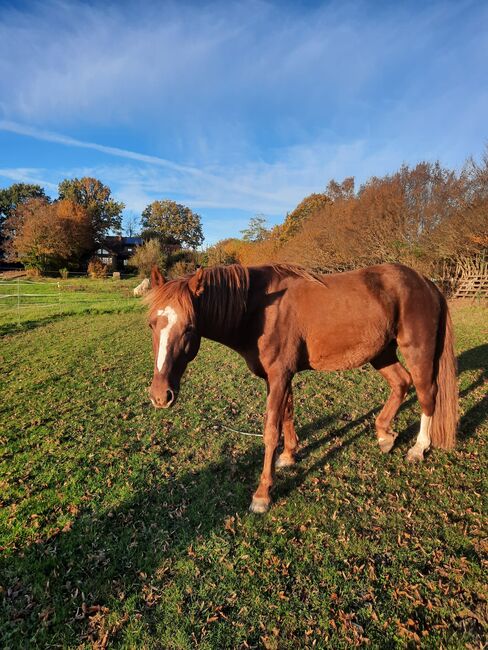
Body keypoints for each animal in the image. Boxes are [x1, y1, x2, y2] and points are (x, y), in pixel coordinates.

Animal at [145, 264, 458, 512]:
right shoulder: (278, 377)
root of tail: (426, 283)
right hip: (381, 353)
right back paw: (384, 435)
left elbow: (271, 431)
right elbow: (287, 415)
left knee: (426, 395)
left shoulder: (280, 375)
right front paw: (289, 456)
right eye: (151, 325)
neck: (259, 309)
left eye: (189, 327)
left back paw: (418, 448)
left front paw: (262, 494)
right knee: (401, 383)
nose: (161, 396)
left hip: (417, 351)